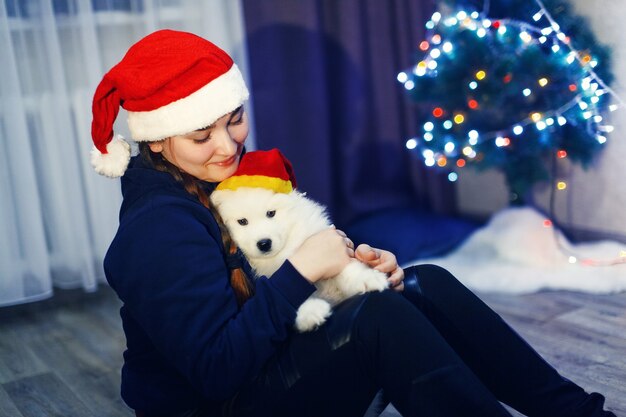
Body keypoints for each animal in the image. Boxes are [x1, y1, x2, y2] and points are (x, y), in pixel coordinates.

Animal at [210, 186, 388, 332]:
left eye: (271, 213)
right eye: (242, 222)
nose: (264, 243)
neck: (284, 253)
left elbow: (347, 269)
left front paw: (368, 278)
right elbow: (289, 291)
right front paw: (311, 311)